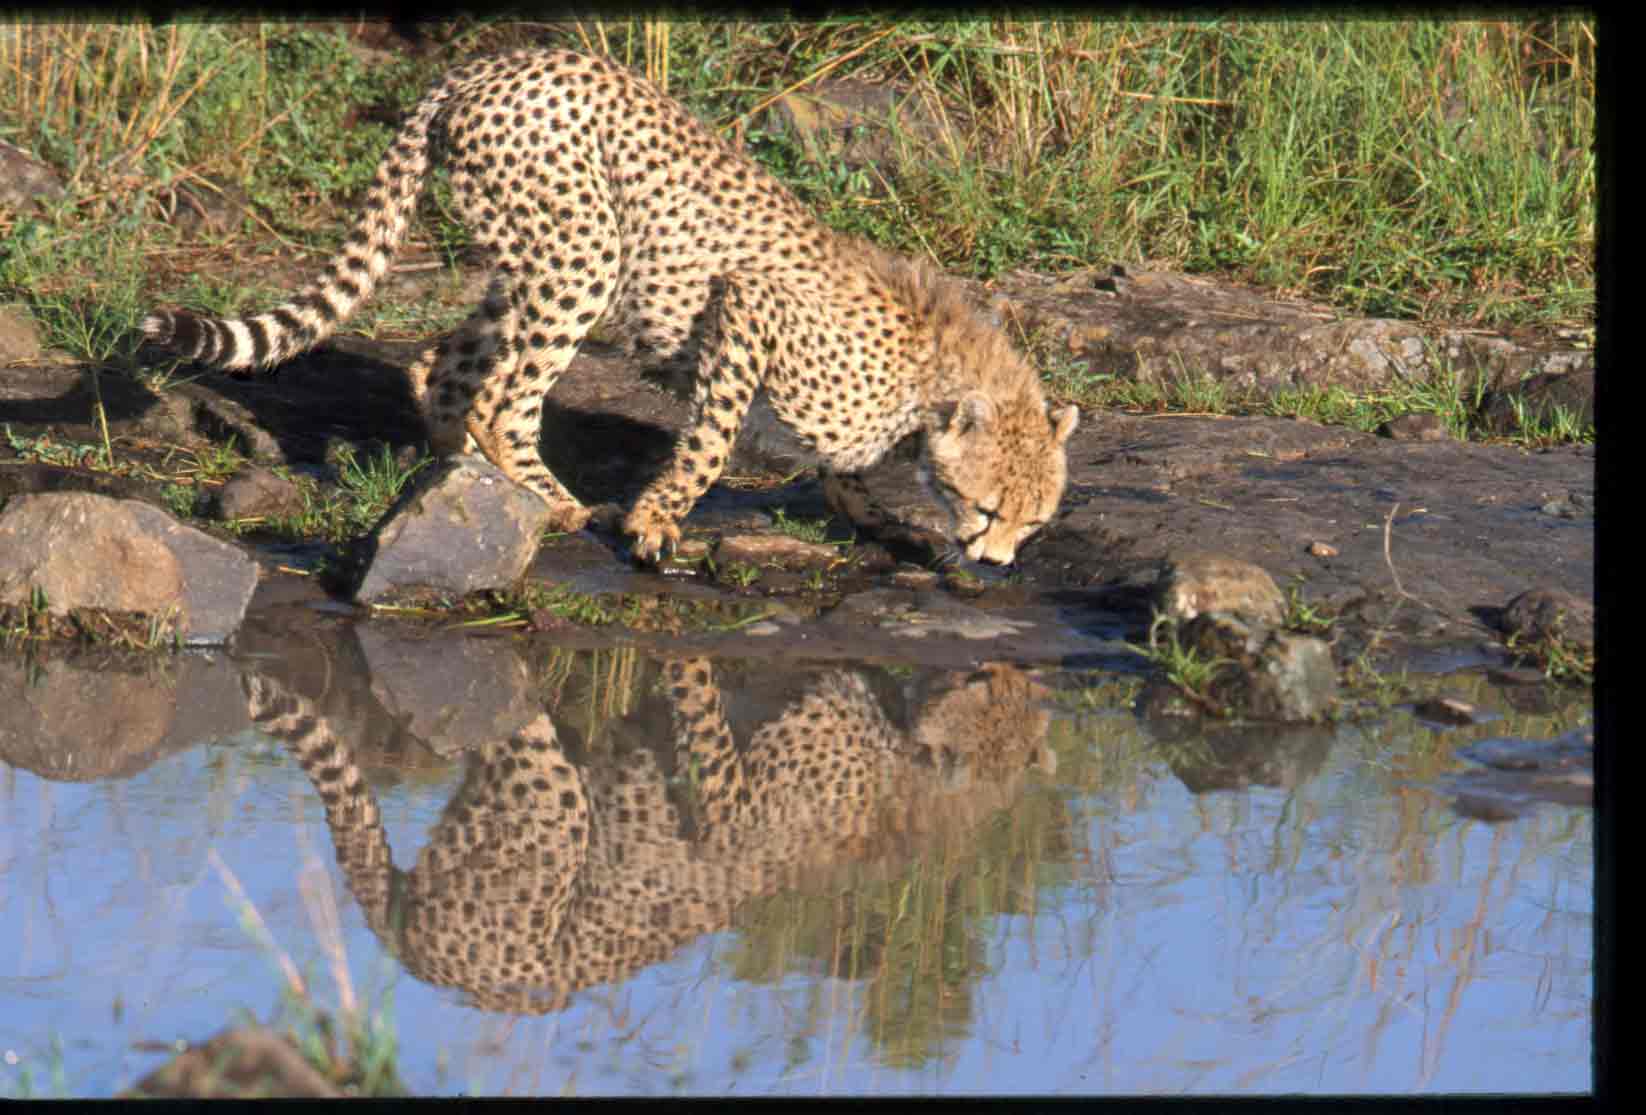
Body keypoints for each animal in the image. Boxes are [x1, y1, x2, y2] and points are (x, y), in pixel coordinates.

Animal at [141, 47, 1079, 559]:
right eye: (988, 507)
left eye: (1034, 521)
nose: (997, 561)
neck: (929, 375)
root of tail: (489, 62)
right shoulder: (750, 310)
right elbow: (710, 443)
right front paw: (657, 521)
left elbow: (843, 474)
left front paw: (890, 525)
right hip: (583, 251)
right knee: (504, 394)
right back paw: (548, 499)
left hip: (528, 256)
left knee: (445, 362)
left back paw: (462, 469)